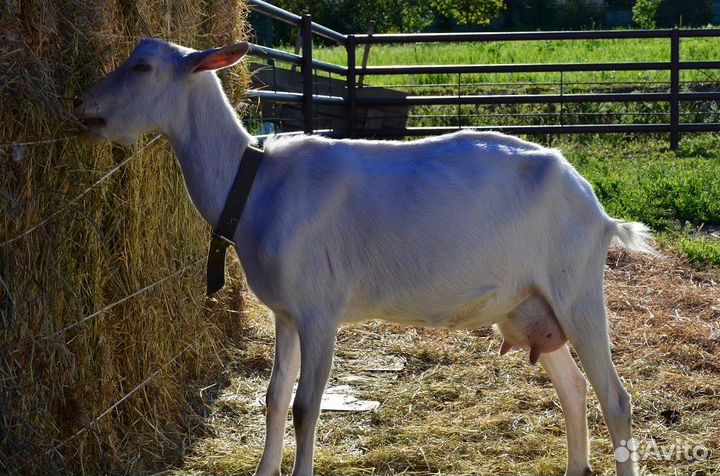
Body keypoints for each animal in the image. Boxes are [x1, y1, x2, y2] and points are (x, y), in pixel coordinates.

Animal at [75, 39, 653, 476]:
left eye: (143, 66)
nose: (83, 106)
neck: (254, 185)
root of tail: (597, 208)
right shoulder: (285, 313)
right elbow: (275, 397)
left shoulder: (319, 311)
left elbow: (306, 407)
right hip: (532, 305)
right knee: (575, 390)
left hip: (575, 288)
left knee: (616, 398)